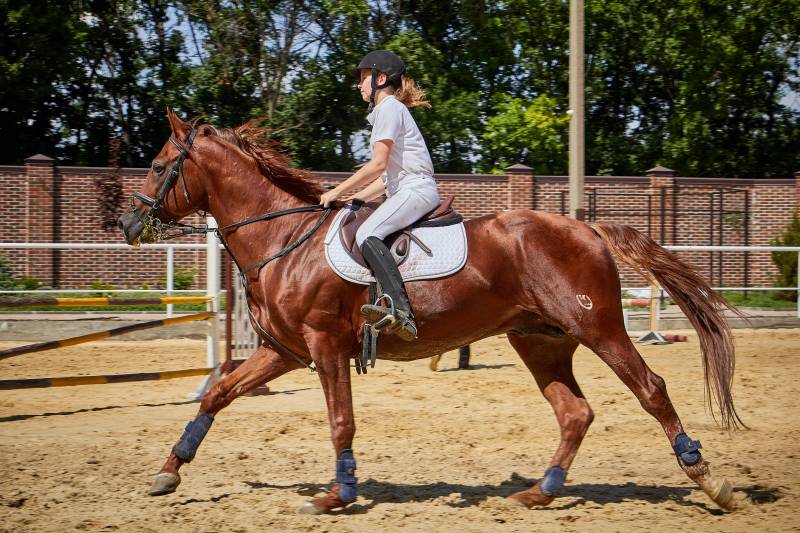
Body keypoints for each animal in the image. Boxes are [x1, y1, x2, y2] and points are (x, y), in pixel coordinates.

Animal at [117, 110, 745, 514]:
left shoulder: (324, 347)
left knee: (651, 390)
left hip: (598, 327)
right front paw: (170, 470)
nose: (127, 224)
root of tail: (585, 227)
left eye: (158, 166)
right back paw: (541, 490)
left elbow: (341, 420)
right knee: (574, 413)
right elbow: (218, 394)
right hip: (540, 340)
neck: (283, 240)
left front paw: (338, 495)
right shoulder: (285, 352)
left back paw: (709, 481)